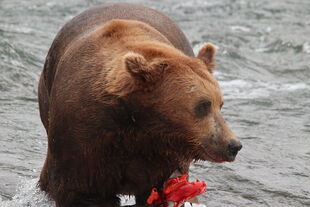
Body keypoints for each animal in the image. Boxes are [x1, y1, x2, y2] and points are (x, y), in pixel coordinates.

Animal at [38, 2, 242, 207]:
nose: (233, 145)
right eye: (203, 105)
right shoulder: (84, 138)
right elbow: (82, 192)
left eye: (220, 104)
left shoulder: (161, 156)